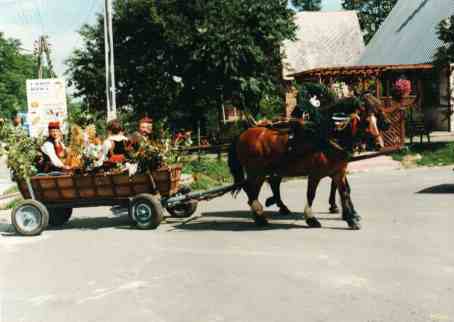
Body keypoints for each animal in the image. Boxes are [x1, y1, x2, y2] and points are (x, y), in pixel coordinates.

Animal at [229, 93, 388, 229]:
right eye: (366, 122)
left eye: (376, 118)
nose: (379, 144)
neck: (328, 138)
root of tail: (243, 133)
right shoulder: (315, 174)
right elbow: (311, 195)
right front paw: (311, 218)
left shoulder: (338, 172)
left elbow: (344, 193)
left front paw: (351, 218)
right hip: (257, 173)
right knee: (252, 193)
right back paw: (261, 215)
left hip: (269, 171)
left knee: (264, 187)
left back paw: (269, 211)